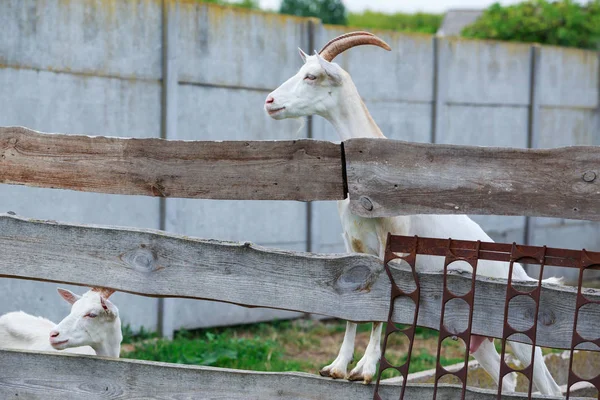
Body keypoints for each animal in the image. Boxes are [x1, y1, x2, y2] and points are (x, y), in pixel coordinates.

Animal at [262, 31, 564, 396]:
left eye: (311, 76)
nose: (270, 101)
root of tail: (526, 277)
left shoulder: (393, 244)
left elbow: (380, 310)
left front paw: (365, 369)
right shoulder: (353, 245)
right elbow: (353, 309)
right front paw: (337, 367)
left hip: (521, 337)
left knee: (549, 385)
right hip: (479, 338)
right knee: (506, 380)